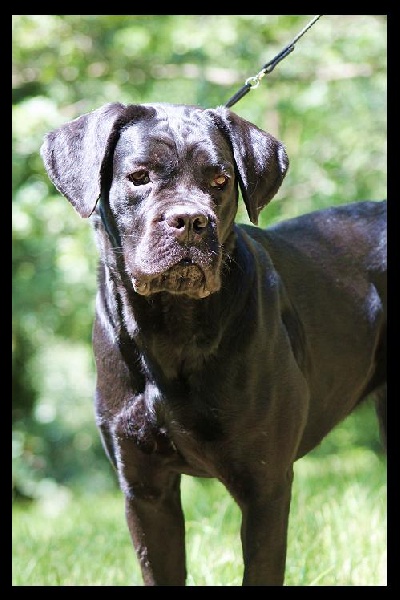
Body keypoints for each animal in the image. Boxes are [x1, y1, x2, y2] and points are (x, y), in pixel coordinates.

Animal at [39, 103, 384, 584]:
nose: (190, 221)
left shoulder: (265, 486)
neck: (170, 329)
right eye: (139, 176)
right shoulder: (146, 490)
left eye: (219, 180)